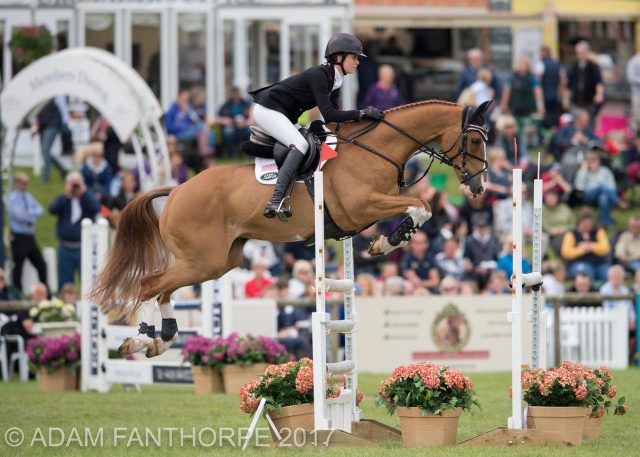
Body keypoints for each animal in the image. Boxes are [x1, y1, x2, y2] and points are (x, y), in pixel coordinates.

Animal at [91, 100, 490, 356]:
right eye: (473, 140)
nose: (478, 188)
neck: (377, 148)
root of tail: (176, 190)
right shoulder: (362, 206)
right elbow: (422, 206)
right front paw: (389, 242)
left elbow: (421, 208)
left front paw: (388, 240)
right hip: (202, 259)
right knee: (150, 285)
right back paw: (141, 340)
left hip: (215, 262)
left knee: (164, 289)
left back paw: (164, 339)